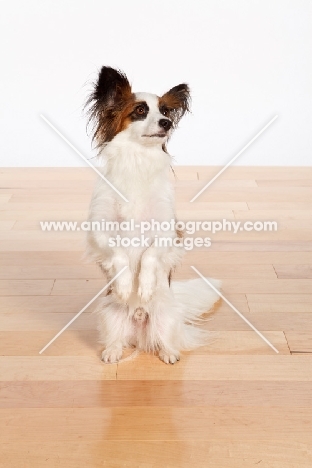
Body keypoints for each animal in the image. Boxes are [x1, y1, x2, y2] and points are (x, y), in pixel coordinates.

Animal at [85, 66, 221, 366]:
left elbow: (149, 255)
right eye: (139, 111)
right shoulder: (101, 230)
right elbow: (119, 254)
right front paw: (126, 286)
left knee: (164, 339)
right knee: (117, 339)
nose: (166, 124)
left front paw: (144, 286)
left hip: (166, 317)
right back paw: (113, 351)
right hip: (109, 313)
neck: (139, 161)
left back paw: (168, 353)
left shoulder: (167, 231)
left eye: (165, 112)